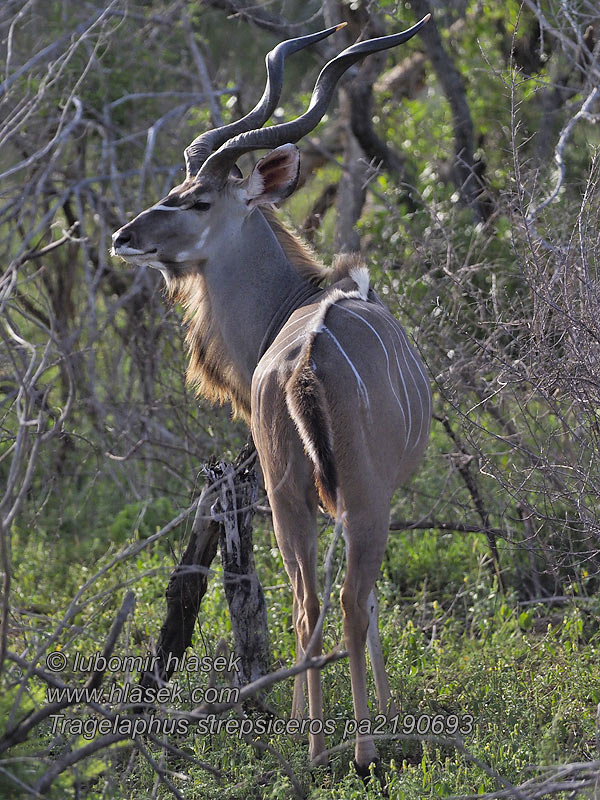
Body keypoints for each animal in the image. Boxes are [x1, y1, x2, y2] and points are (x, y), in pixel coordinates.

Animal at [112, 15, 432, 772]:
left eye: (196, 198)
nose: (124, 236)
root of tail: (306, 362)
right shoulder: (369, 494)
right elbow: (369, 604)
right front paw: (391, 719)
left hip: (289, 494)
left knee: (305, 599)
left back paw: (307, 745)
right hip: (361, 497)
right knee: (344, 599)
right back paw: (362, 749)